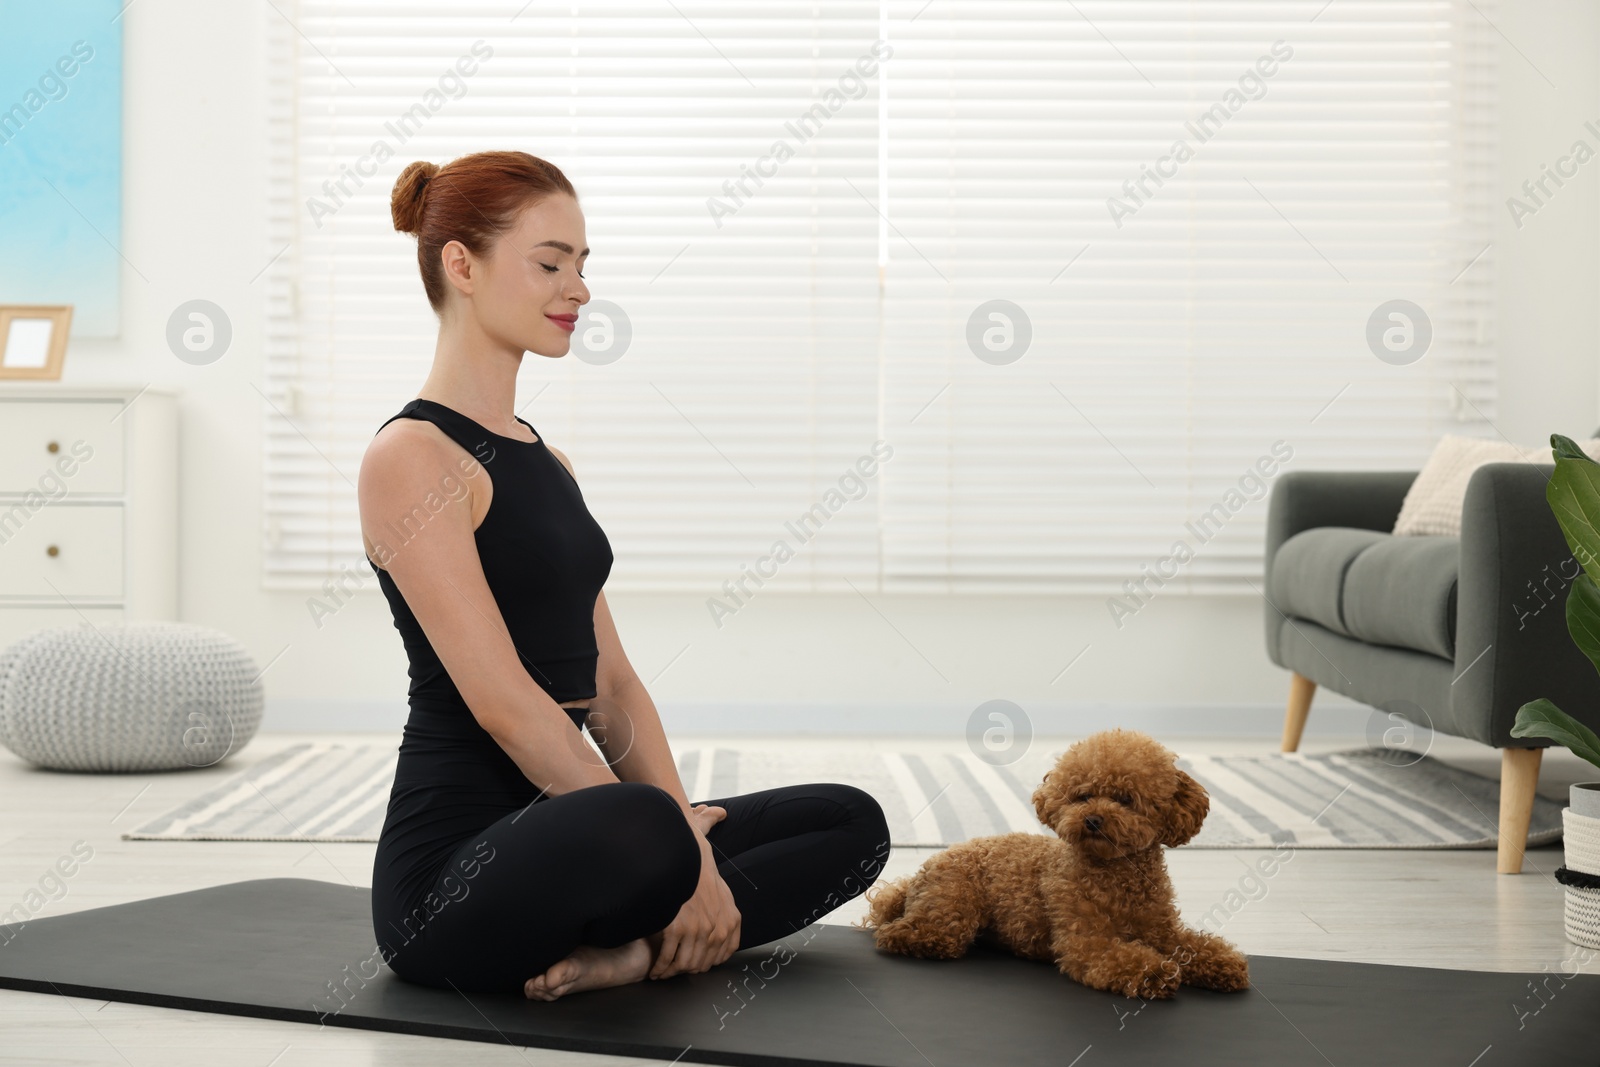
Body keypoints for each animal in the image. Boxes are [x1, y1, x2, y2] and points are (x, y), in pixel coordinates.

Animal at [864, 729, 1248, 998]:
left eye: (1126, 799)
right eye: (1083, 795)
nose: (1092, 820)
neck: (1118, 875)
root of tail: (923, 872)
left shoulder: (1163, 931)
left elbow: (1193, 945)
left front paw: (1223, 963)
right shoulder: (1086, 941)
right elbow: (1118, 956)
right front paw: (1154, 973)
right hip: (950, 910)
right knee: (902, 933)